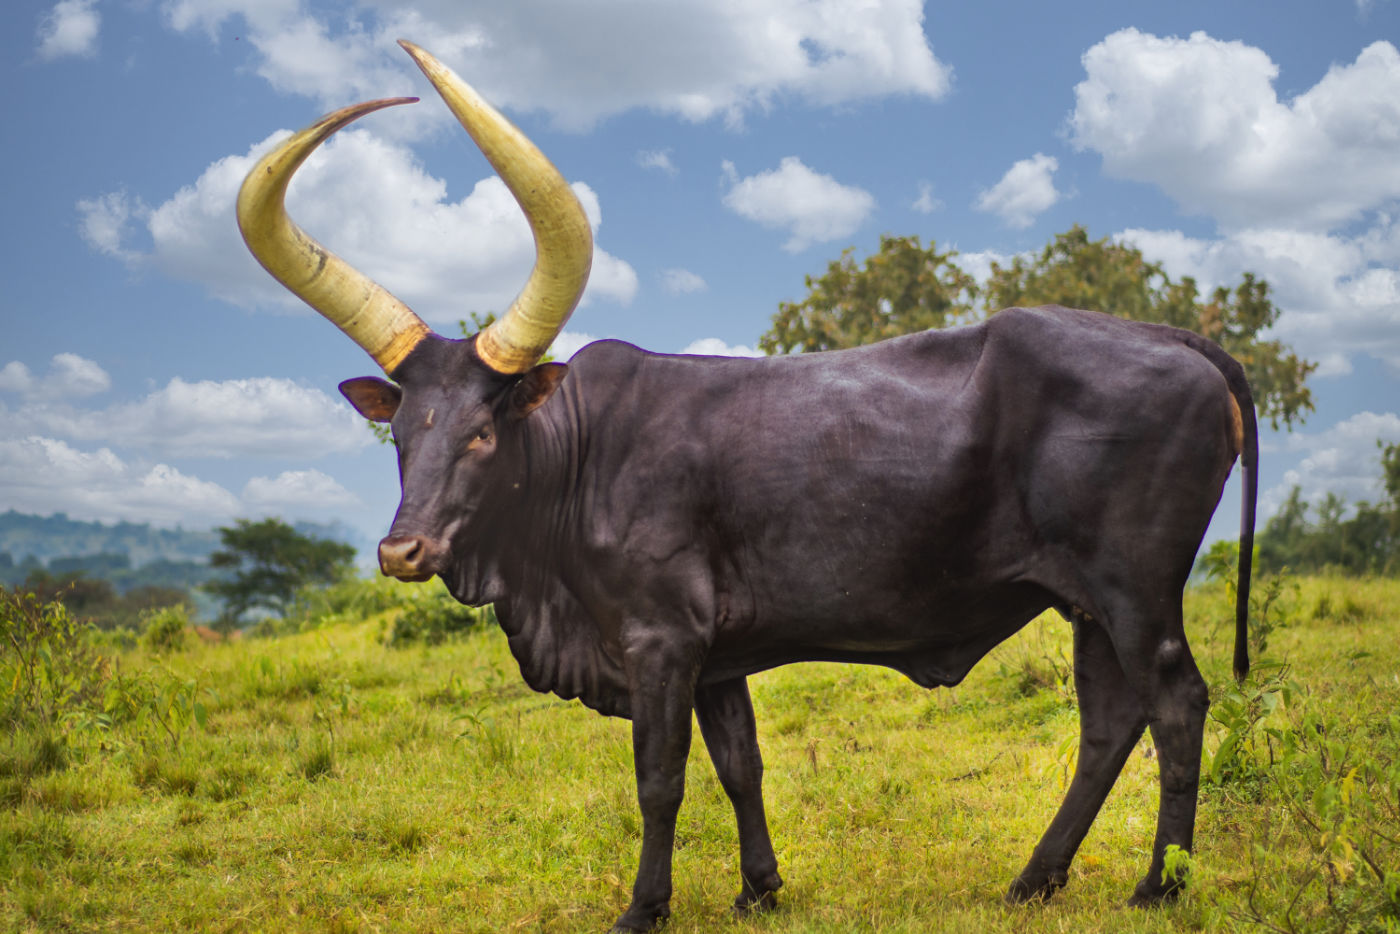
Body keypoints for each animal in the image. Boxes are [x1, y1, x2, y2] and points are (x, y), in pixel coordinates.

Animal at [238, 42, 1260, 934]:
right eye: (402, 433)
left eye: (483, 432)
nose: (402, 549)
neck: (579, 461)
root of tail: (1173, 337)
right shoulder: (718, 657)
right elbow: (741, 764)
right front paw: (759, 889)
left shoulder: (660, 643)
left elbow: (660, 779)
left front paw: (644, 908)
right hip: (1086, 604)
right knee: (1109, 722)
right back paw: (1033, 881)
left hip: (1135, 593)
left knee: (1175, 704)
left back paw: (1160, 887)